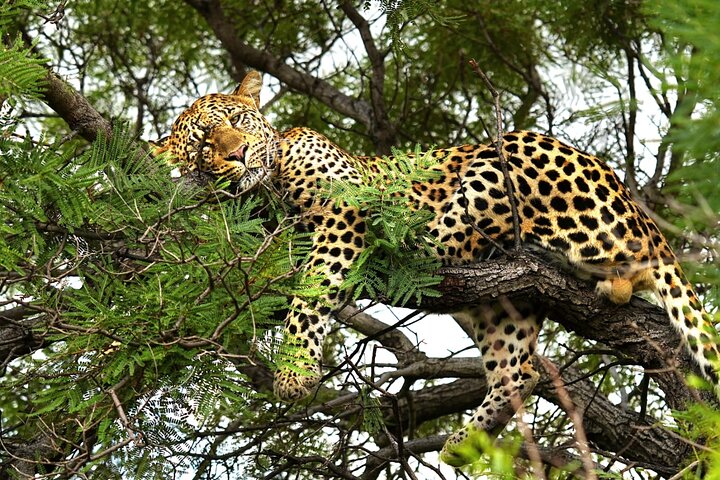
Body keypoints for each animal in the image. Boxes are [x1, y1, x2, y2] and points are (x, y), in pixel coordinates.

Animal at [152, 71, 720, 467]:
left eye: (237, 122)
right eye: (202, 145)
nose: (238, 154)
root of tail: (645, 219)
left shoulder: (345, 206)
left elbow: (312, 290)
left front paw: (294, 373)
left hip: (506, 157)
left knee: (449, 238)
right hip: (503, 306)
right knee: (522, 369)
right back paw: (463, 443)